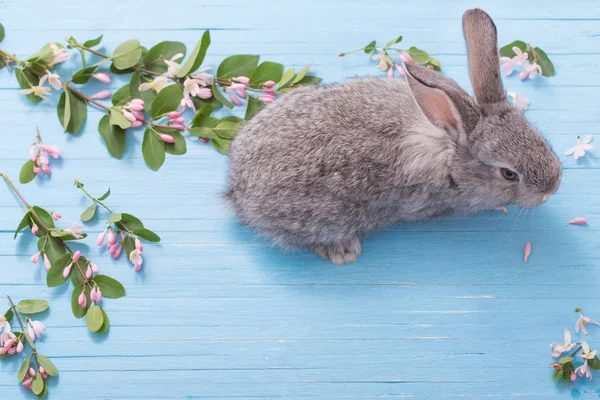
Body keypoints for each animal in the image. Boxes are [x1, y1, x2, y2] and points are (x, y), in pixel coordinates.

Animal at [226, 7, 564, 264]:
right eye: (509, 174)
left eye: (539, 138)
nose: (552, 187)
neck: (450, 151)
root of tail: (237, 189)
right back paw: (344, 251)